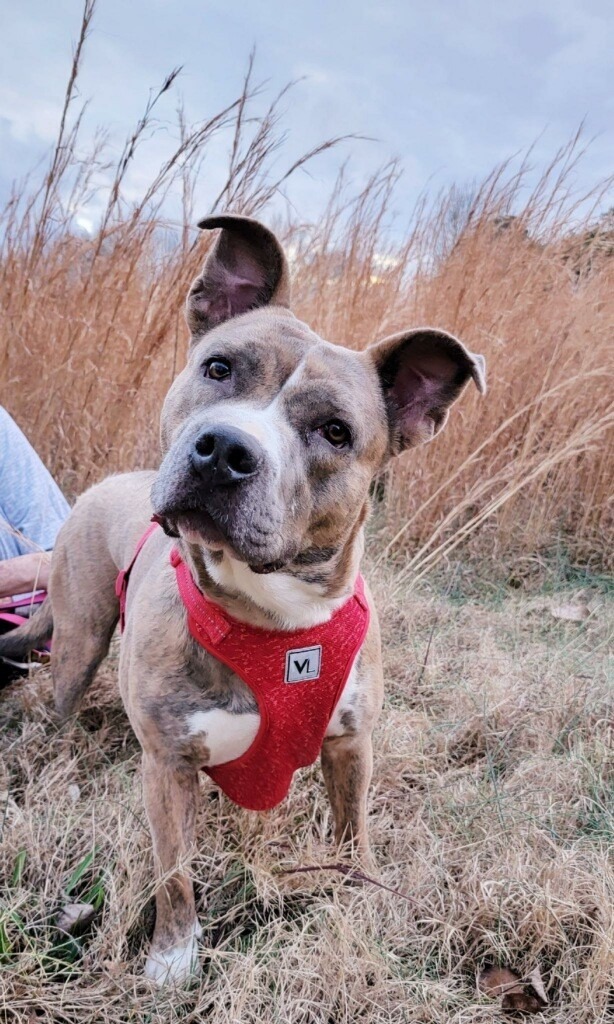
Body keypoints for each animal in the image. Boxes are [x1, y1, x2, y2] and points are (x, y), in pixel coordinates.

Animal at [0, 214, 487, 983]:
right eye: (219, 368)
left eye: (336, 432)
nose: (223, 449)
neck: (275, 618)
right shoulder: (169, 768)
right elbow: (174, 873)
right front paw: (173, 959)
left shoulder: (352, 746)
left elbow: (353, 837)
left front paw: (359, 904)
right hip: (79, 641)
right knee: (61, 696)